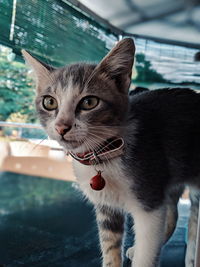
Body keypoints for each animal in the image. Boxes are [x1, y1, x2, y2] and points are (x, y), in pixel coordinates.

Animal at [21, 38, 200, 267]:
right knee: (173, 212)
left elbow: (148, 250)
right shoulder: (107, 207)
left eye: (89, 102)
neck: (104, 155)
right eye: (49, 102)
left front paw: (144, 254)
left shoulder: (149, 200)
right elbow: (110, 247)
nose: (61, 127)